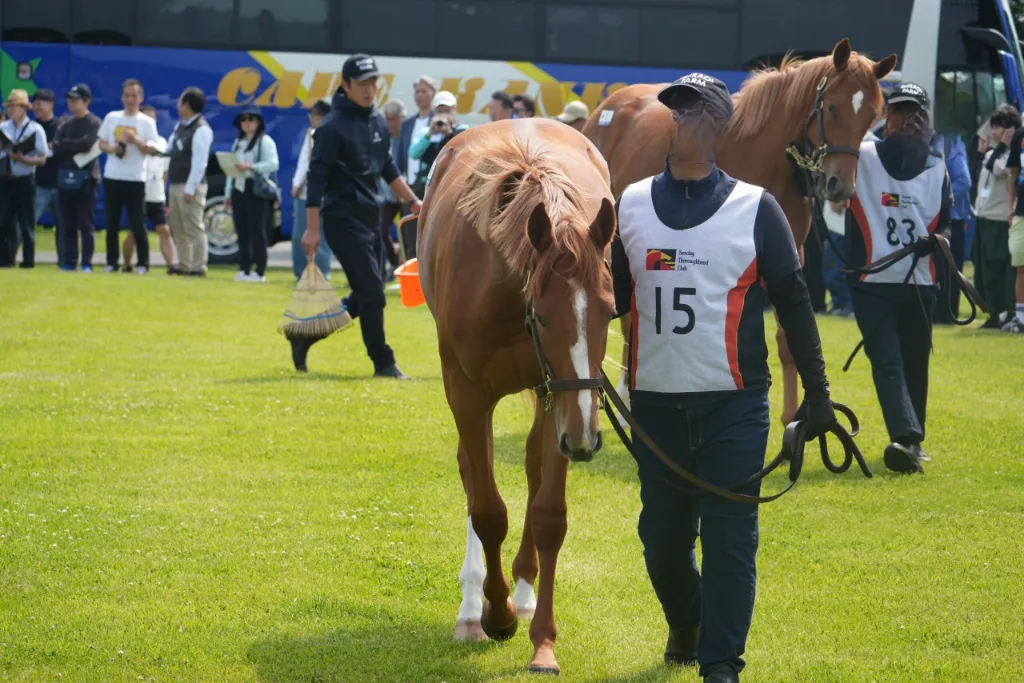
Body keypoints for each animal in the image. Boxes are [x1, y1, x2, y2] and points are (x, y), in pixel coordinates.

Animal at [417, 117, 617, 675]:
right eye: (544, 317)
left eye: (611, 312)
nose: (588, 439)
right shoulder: (466, 393)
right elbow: (487, 510)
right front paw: (496, 612)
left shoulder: (562, 394)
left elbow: (548, 514)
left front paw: (541, 639)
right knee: (473, 470)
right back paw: (475, 605)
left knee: (530, 466)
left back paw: (523, 590)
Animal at [582, 38, 897, 425]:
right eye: (834, 107)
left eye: (872, 116)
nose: (840, 186)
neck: (761, 155)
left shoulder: (789, 253)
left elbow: (787, 340)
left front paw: (793, 417)